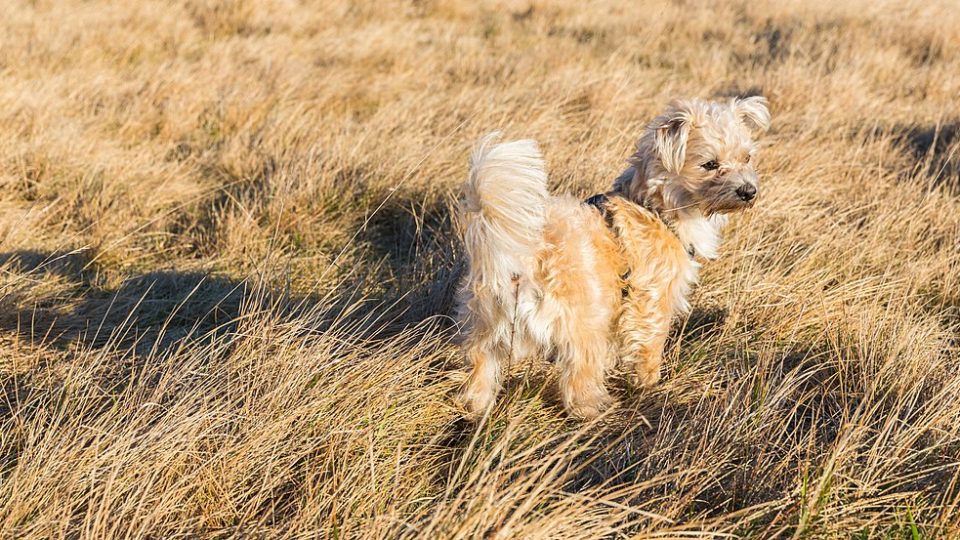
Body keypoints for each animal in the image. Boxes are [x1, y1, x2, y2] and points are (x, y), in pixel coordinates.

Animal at [456, 96, 772, 418]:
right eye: (710, 164)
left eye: (747, 158)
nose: (748, 191)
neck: (656, 208)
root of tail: (522, 260)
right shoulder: (652, 302)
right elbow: (650, 345)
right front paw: (649, 384)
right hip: (584, 326)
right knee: (577, 381)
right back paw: (595, 407)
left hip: (487, 324)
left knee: (481, 363)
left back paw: (476, 407)